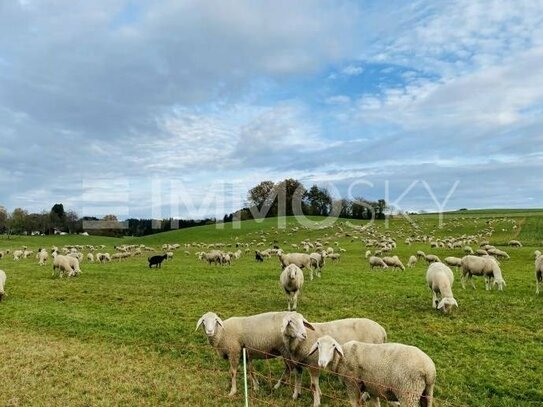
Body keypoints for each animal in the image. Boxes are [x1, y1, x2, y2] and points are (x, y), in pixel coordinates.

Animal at [310, 336, 438, 407]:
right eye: (318, 345)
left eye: (333, 345)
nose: (321, 362)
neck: (342, 357)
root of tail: (429, 369)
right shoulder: (373, 387)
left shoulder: (352, 385)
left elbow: (355, 404)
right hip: (426, 393)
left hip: (408, 393)